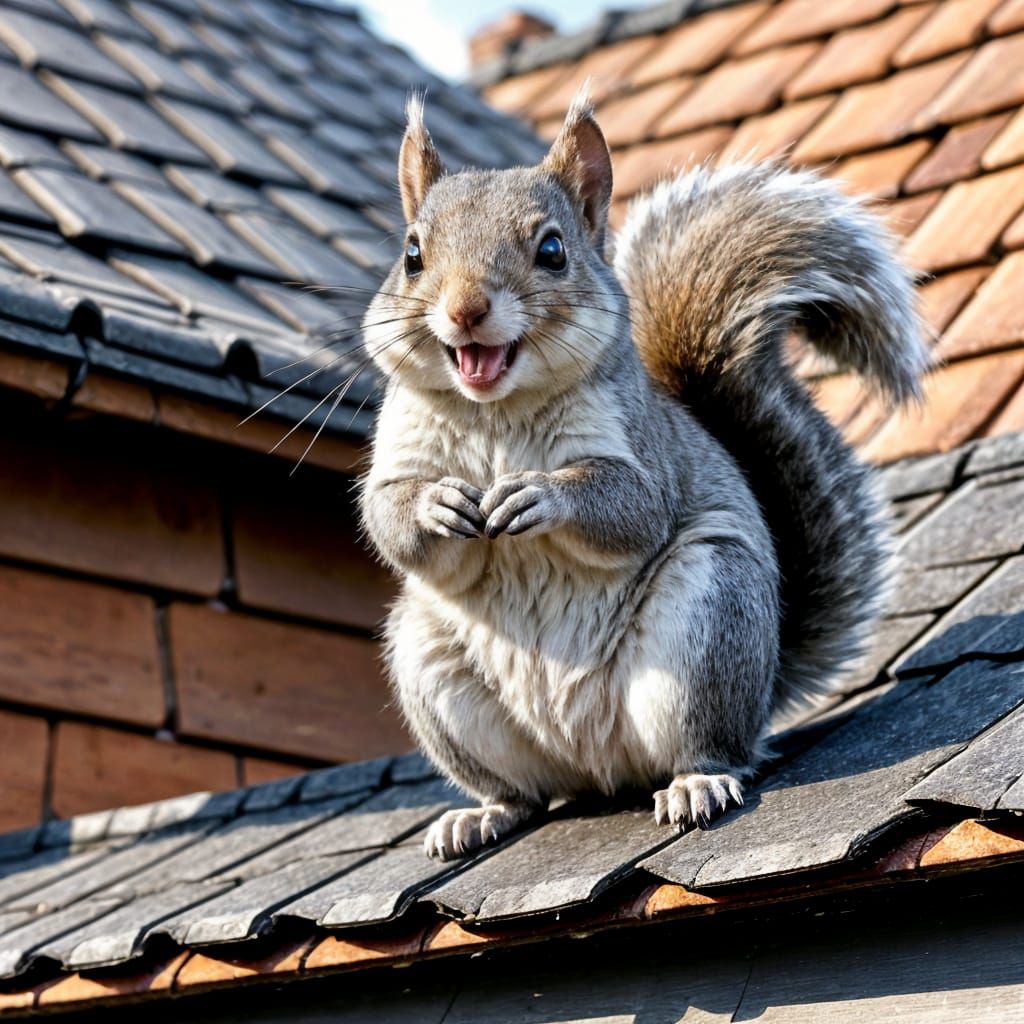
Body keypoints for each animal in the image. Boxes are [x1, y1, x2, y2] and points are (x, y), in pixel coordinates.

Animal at [359, 94, 927, 861]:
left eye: (552, 250)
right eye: (412, 254)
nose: (466, 309)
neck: (494, 414)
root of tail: (596, 765)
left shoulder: (640, 450)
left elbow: (631, 509)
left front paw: (540, 493)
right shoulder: (399, 450)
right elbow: (387, 517)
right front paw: (437, 506)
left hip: (708, 620)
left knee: (716, 747)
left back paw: (697, 782)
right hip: (434, 673)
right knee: (523, 793)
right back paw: (479, 816)